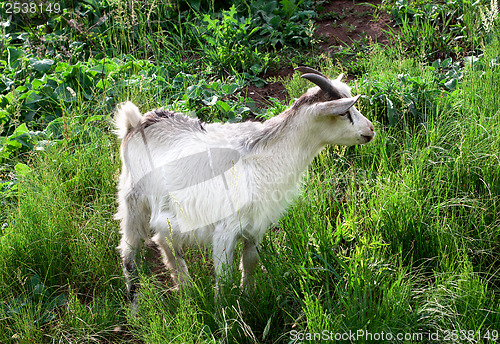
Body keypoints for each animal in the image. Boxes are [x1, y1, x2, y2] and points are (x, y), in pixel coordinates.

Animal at [112, 66, 372, 296]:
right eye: (343, 113)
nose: (370, 130)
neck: (265, 157)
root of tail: (136, 123)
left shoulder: (255, 226)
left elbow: (250, 263)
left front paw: (249, 296)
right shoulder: (224, 231)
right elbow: (225, 279)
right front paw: (226, 316)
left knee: (166, 243)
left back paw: (186, 288)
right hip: (132, 202)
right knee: (129, 252)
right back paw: (135, 306)